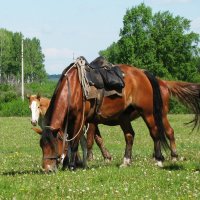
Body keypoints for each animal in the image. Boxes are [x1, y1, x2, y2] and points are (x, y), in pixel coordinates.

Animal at [39, 57, 177, 173]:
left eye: (52, 145)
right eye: (41, 145)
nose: (47, 169)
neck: (73, 88)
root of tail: (142, 73)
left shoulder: (80, 119)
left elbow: (75, 141)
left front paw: (72, 165)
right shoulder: (71, 120)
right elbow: (70, 141)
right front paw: (67, 164)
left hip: (148, 113)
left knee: (155, 132)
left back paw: (159, 159)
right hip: (124, 116)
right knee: (129, 135)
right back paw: (126, 161)